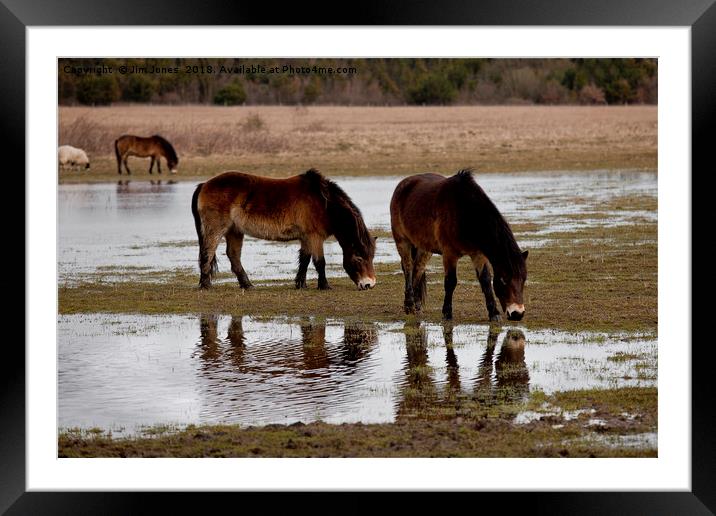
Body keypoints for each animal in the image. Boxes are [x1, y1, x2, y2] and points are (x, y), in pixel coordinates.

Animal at [190, 168, 380, 290]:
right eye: (358, 257)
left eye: (371, 257)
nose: (368, 284)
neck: (324, 203)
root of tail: (204, 184)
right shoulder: (314, 237)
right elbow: (320, 262)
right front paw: (324, 286)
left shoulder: (306, 238)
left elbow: (305, 259)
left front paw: (300, 284)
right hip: (216, 229)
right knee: (207, 253)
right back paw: (206, 285)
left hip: (234, 231)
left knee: (233, 255)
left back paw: (247, 285)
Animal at [392, 170, 524, 322]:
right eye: (503, 280)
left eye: (523, 280)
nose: (517, 314)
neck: (464, 212)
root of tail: (404, 184)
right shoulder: (449, 254)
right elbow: (450, 282)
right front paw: (447, 313)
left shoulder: (478, 254)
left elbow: (485, 280)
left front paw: (494, 314)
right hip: (402, 241)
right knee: (408, 268)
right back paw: (409, 305)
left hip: (424, 248)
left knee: (418, 269)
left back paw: (417, 306)